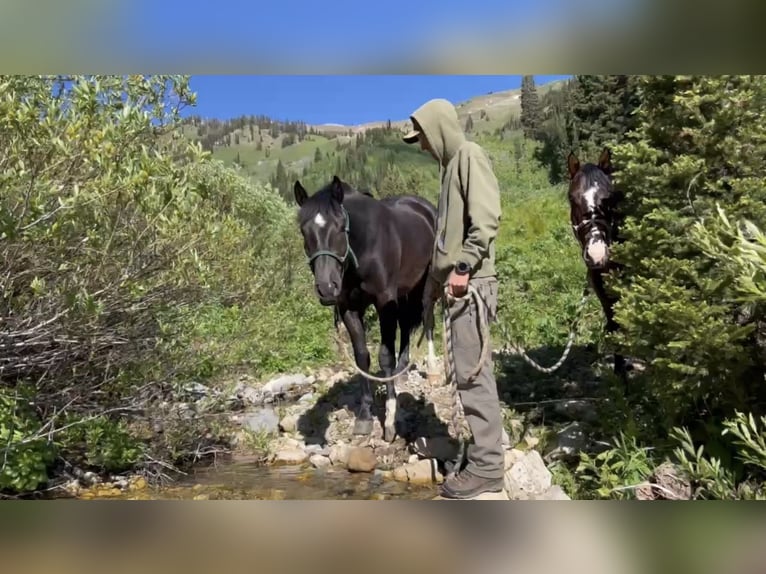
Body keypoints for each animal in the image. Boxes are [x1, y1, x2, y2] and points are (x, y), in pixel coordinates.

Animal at [293, 175, 438, 442]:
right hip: (403, 292)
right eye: (304, 231)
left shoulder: (383, 302)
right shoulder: (349, 308)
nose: (327, 287)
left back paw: (432, 370)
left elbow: (385, 356)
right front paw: (364, 416)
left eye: (340, 227)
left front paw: (390, 419)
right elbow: (362, 357)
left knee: (428, 319)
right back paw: (401, 372)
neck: (362, 249)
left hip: (427, 284)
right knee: (406, 326)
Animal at [567, 147, 631, 380]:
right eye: (572, 199)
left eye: (609, 199)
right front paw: (619, 370)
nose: (597, 254)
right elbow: (613, 322)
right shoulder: (600, 285)